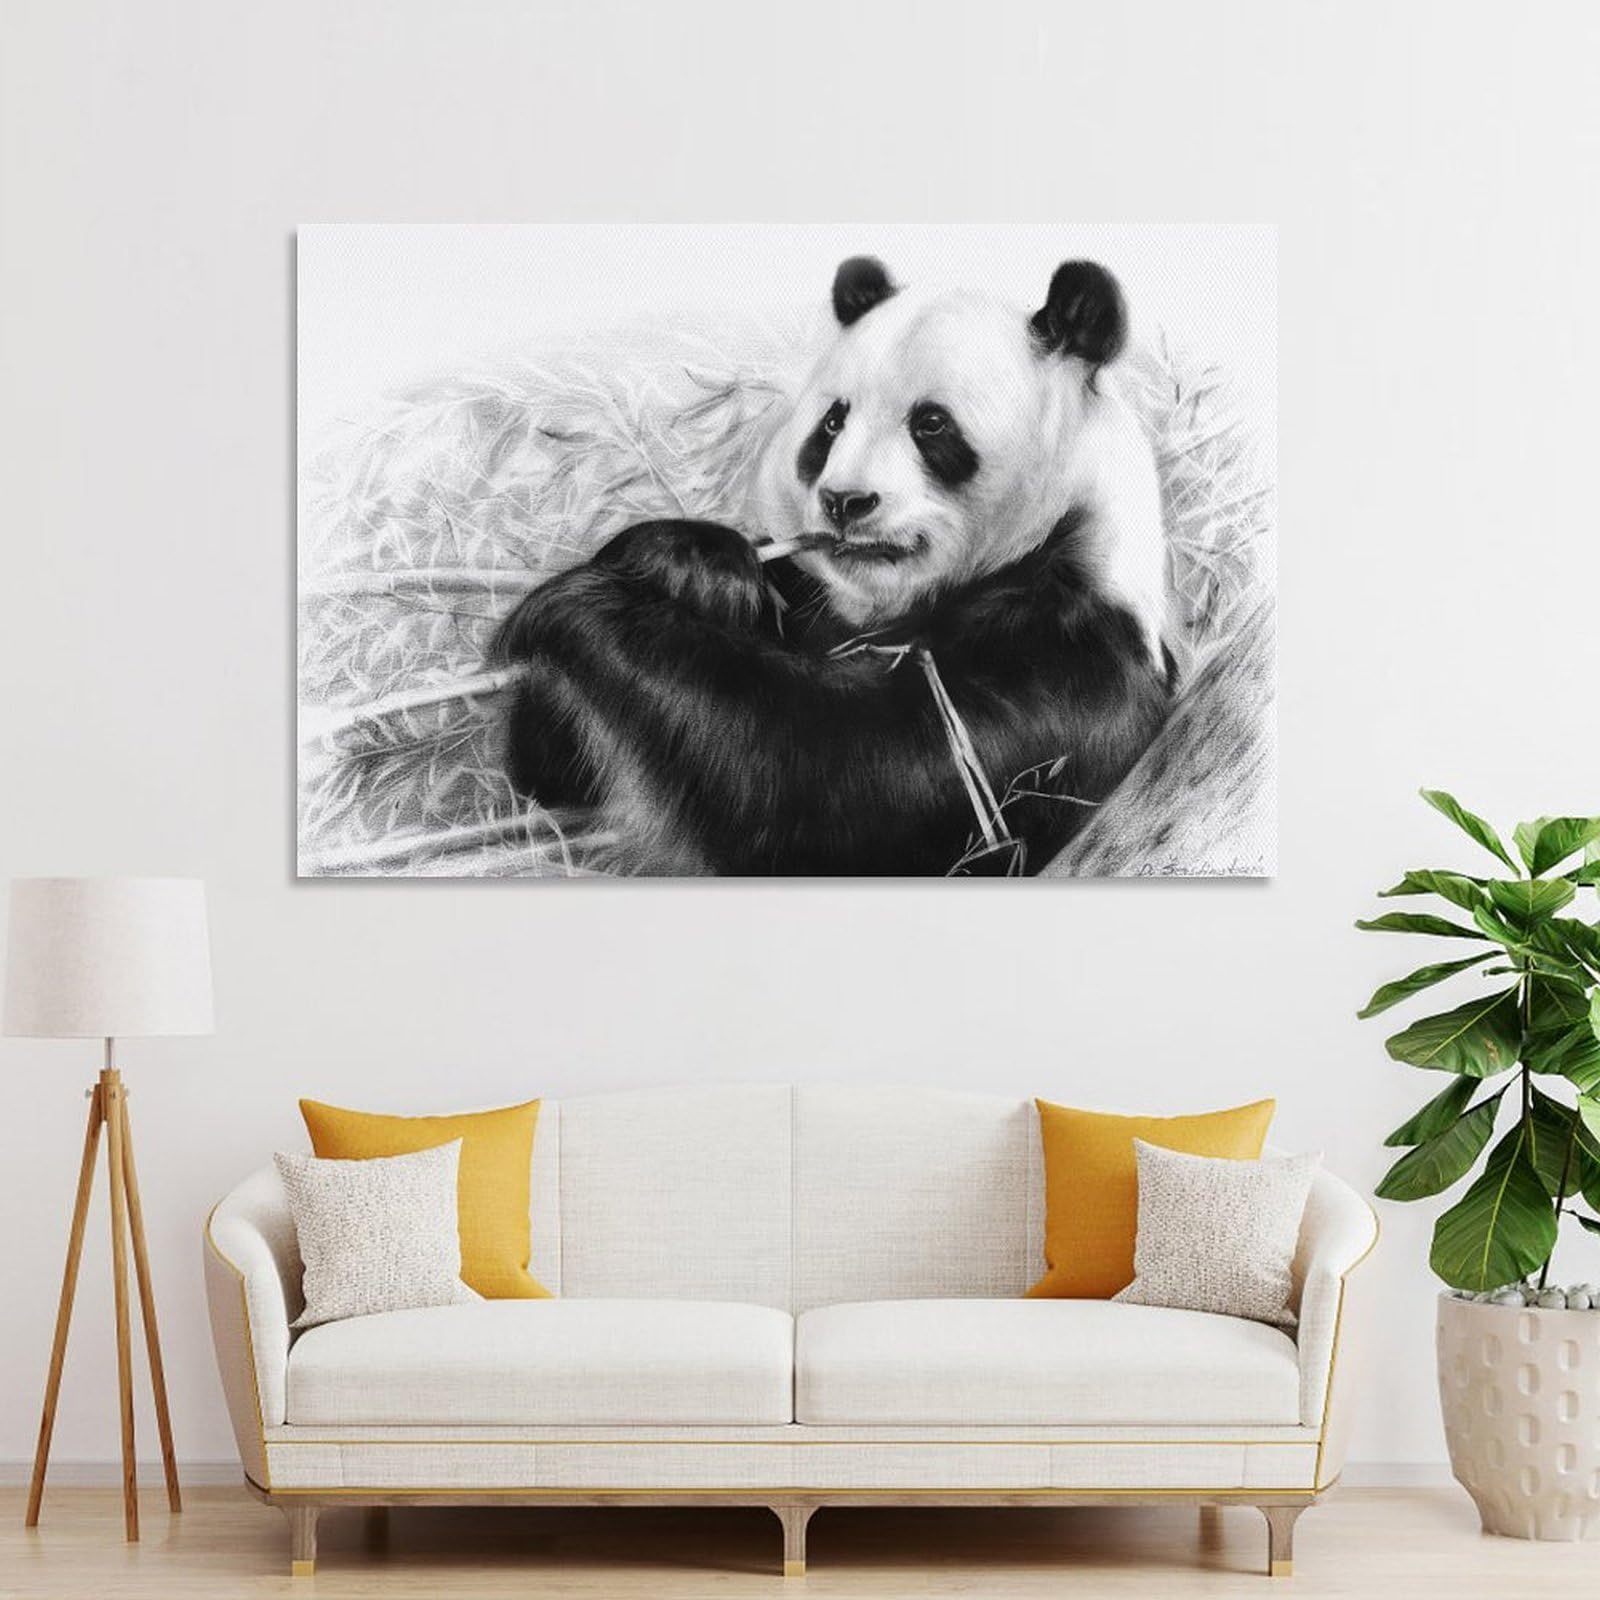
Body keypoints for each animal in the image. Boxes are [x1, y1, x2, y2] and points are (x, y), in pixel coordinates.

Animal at [491, 256, 1175, 876]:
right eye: (832, 422)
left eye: (932, 424)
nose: (846, 501)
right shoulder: (811, 602)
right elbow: (555, 780)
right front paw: (688, 563)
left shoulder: (1064, 661)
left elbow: (832, 784)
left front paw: (571, 610)